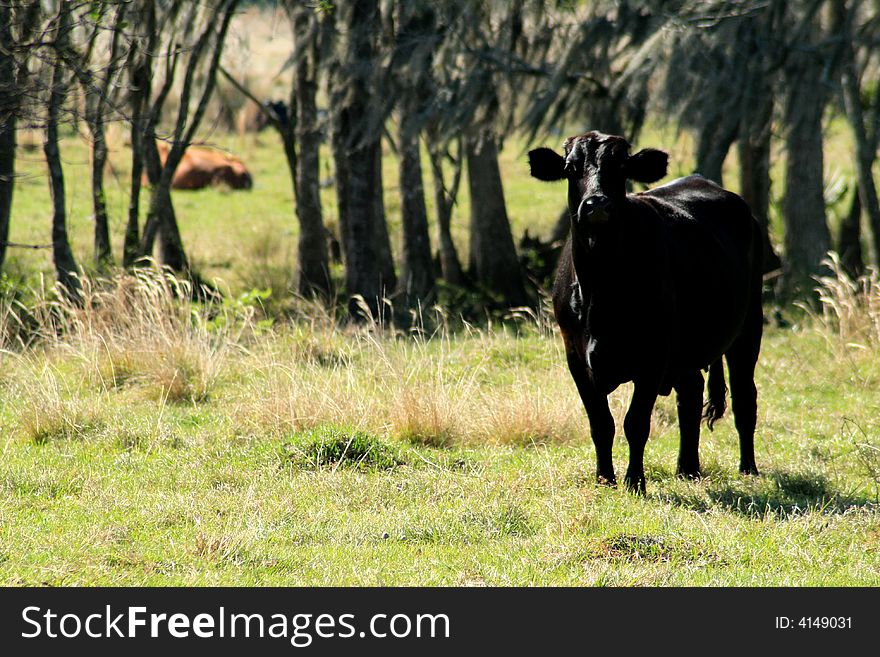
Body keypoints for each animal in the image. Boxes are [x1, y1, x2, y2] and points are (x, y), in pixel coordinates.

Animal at [528, 132, 764, 492]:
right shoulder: (575, 357)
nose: (597, 204)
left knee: (744, 398)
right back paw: (687, 469)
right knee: (691, 394)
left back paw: (747, 467)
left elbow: (635, 423)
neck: (600, 292)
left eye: (621, 168)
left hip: (749, 326)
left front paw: (634, 481)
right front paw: (604, 478)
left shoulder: (653, 356)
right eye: (570, 168)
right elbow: (601, 423)